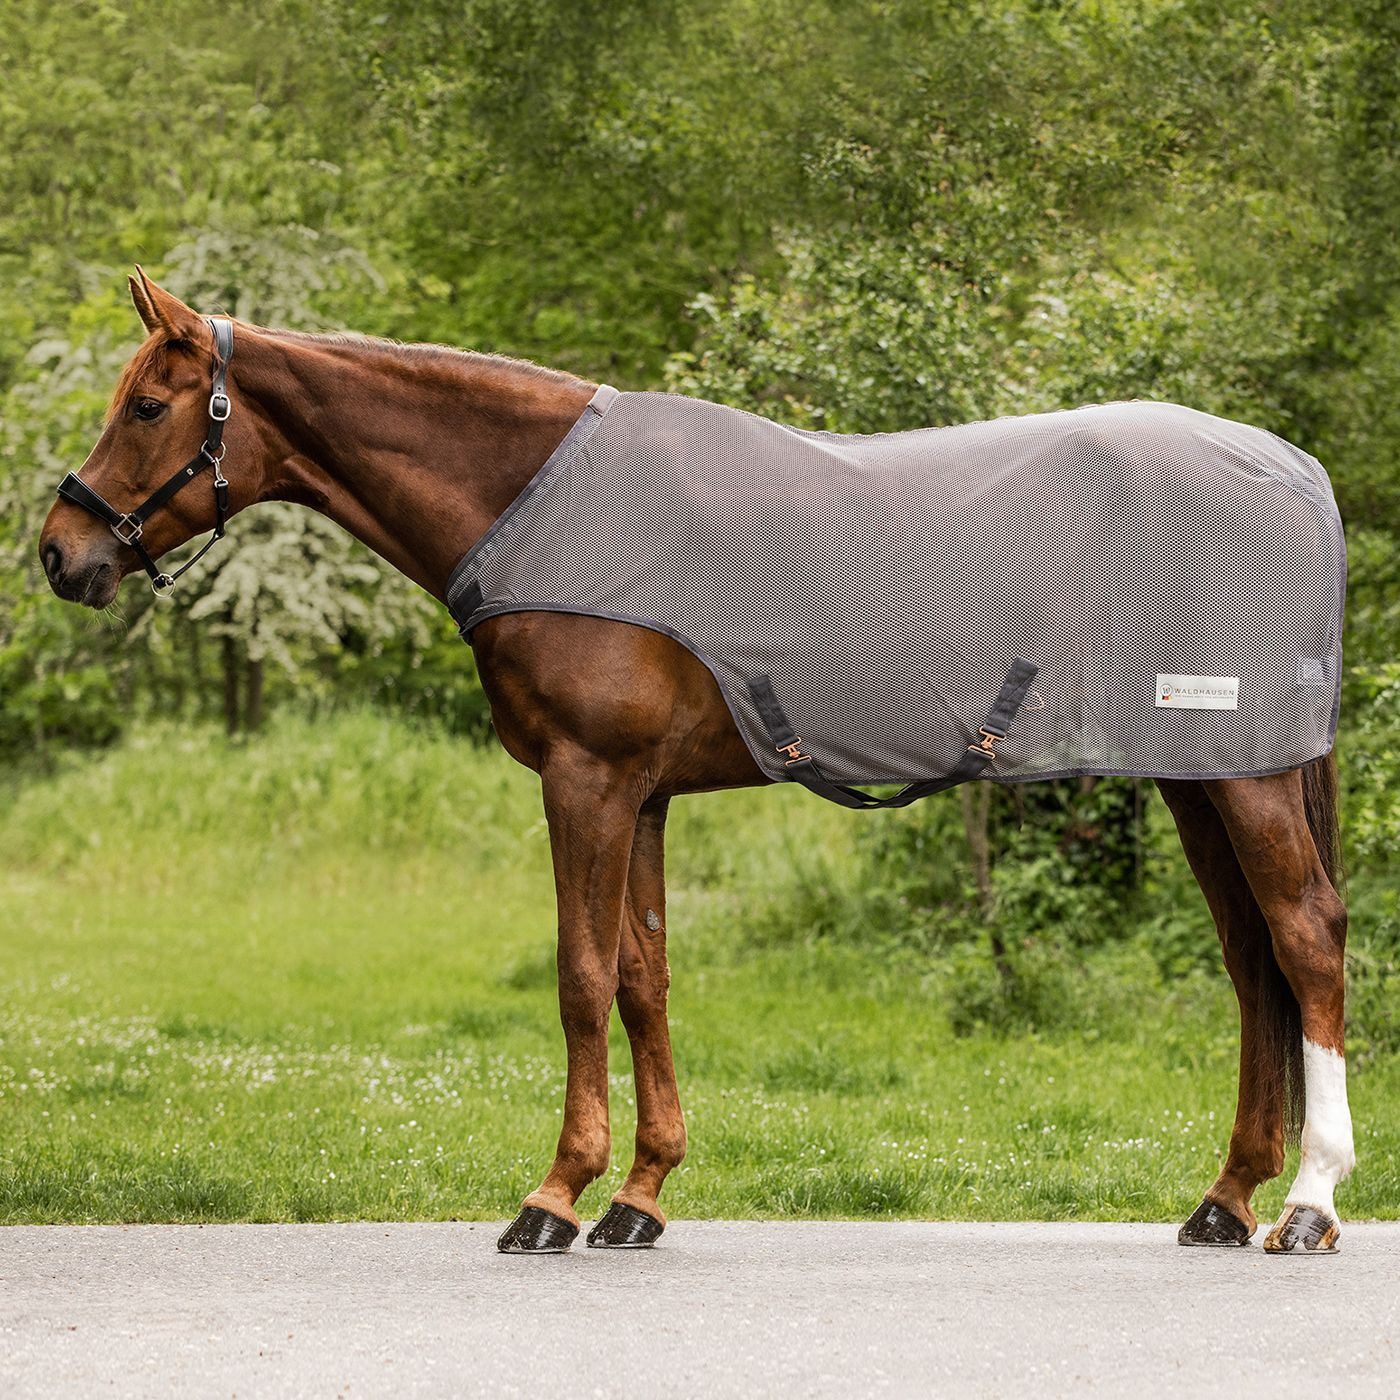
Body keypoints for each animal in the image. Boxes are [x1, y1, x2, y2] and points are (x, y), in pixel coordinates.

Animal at [38, 271, 1354, 1255]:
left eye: (148, 404)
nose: (58, 552)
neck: (538, 506)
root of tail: (1294, 471)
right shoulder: (644, 794)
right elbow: (642, 977)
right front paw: (638, 1193)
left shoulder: (585, 779)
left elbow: (578, 975)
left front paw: (553, 1194)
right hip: (1197, 776)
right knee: (1250, 967)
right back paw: (1222, 1197)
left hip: (1241, 776)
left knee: (1303, 940)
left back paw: (1305, 1201)